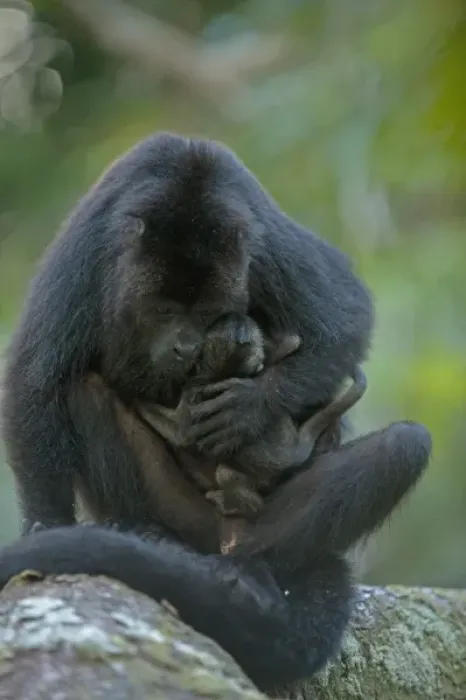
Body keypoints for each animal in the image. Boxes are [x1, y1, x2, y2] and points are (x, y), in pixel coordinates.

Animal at [1, 131, 373, 541]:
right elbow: (34, 378)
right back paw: (137, 522)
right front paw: (46, 520)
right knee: (85, 390)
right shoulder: (90, 252)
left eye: (208, 312)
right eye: (164, 310)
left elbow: (345, 318)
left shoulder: (263, 242)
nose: (186, 346)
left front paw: (246, 408)